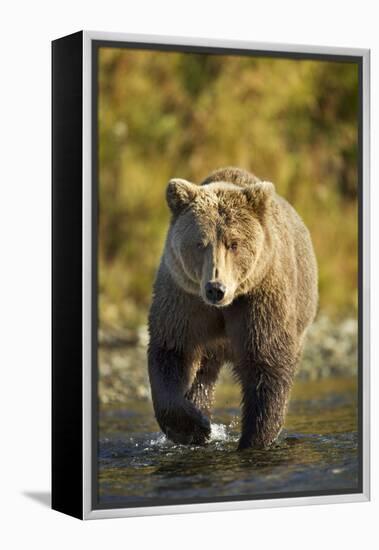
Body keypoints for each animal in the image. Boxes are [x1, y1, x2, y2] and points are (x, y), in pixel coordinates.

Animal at [147, 166, 320, 450]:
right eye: (200, 243)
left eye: (234, 243)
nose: (215, 288)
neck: (225, 306)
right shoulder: (184, 299)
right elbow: (172, 351)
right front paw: (195, 427)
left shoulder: (259, 299)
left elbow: (267, 364)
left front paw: (253, 439)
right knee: (203, 374)